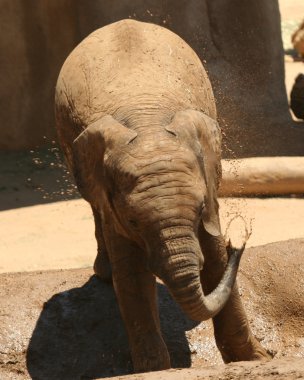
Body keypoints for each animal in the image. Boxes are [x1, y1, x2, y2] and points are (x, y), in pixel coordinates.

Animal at [54, 19, 268, 372]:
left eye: (199, 209)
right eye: (132, 221)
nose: (240, 239)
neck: (148, 125)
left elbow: (215, 259)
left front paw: (255, 359)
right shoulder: (113, 200)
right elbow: (132, 275)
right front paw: (156, 369)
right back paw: (104, 272)